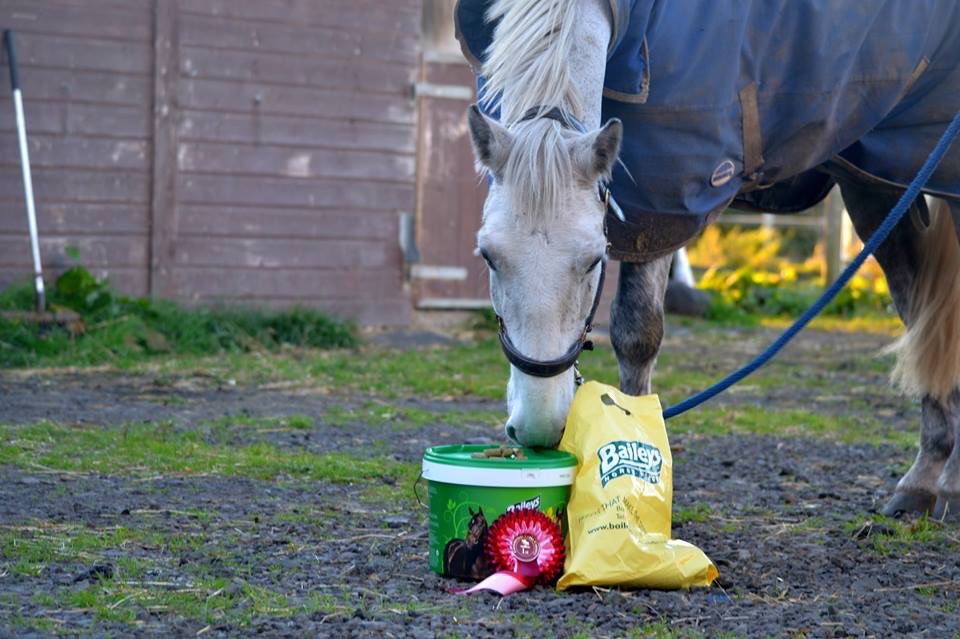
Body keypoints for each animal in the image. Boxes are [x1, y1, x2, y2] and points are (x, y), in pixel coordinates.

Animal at [454, 0, 960, 520]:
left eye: (595, 261)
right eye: (488, 256)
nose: (538, 428)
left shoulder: (663, 205)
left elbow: (636, 334)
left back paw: (944, 485)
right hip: (877, 184)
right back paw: (923, 482)